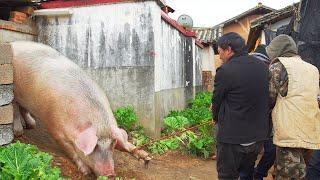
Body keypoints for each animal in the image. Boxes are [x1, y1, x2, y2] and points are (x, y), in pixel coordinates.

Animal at [10, 41, 150, 177]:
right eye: (94, 146)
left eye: (112, 144)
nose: (110, 174)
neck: (98, 122)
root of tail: (13, 43)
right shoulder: (55, 129)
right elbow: (71, 150)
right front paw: (85, 171)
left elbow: (125, 144)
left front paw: (147, 158)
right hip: (14, 91)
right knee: (15, 108)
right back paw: (19, 131)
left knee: (23, 108)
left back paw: (31, 125)